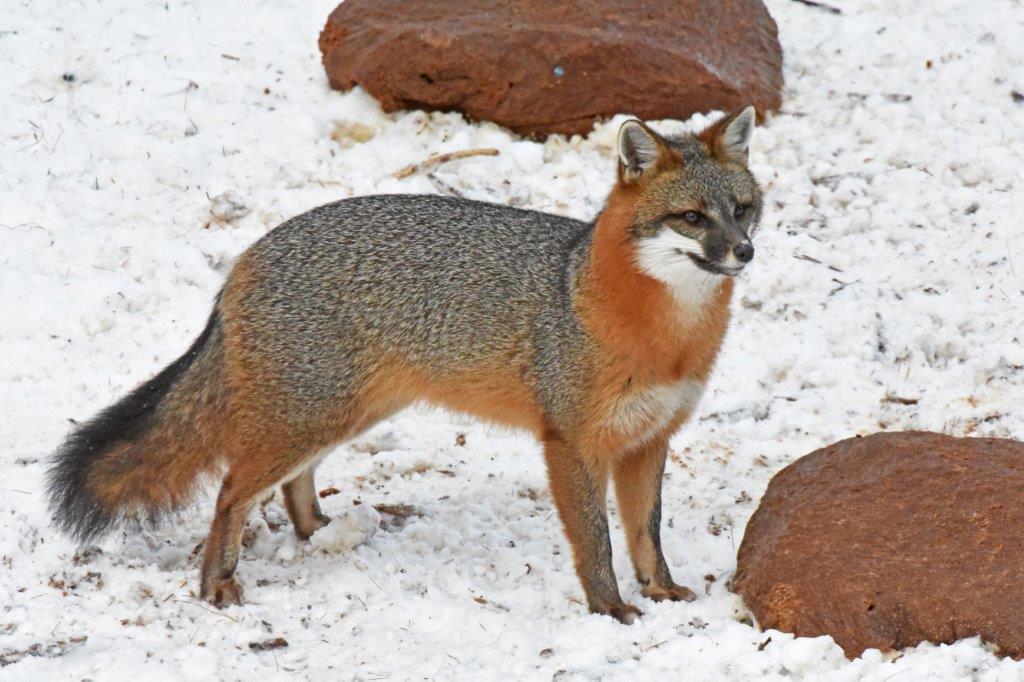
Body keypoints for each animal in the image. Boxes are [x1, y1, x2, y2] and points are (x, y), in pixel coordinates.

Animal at [47, 107, 762, 622]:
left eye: (742, 209)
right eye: (692, 217)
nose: (745, 252)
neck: (662, 333)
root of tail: (244, 259)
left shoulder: (648, 439)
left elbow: (647, 535)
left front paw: (661, 592)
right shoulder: (573, 443)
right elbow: (597, 541)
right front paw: (609, 607)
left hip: (344, 414)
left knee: (288, 483)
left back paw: (321, 530)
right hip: (311, 417)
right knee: (230, 491)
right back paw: (216, 583)